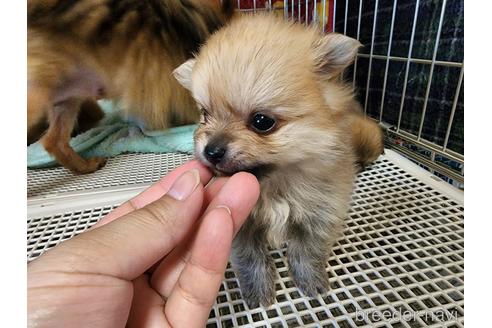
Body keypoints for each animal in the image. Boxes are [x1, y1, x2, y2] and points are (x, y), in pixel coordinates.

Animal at [174, 14, 384, 308]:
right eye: (205, 114)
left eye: (262, 121)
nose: (212, 150)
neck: (275, 185)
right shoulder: (242, 228)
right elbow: (251, 258)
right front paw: (258, 291)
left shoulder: (321, 211)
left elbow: (307, 250)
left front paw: (311, 282)